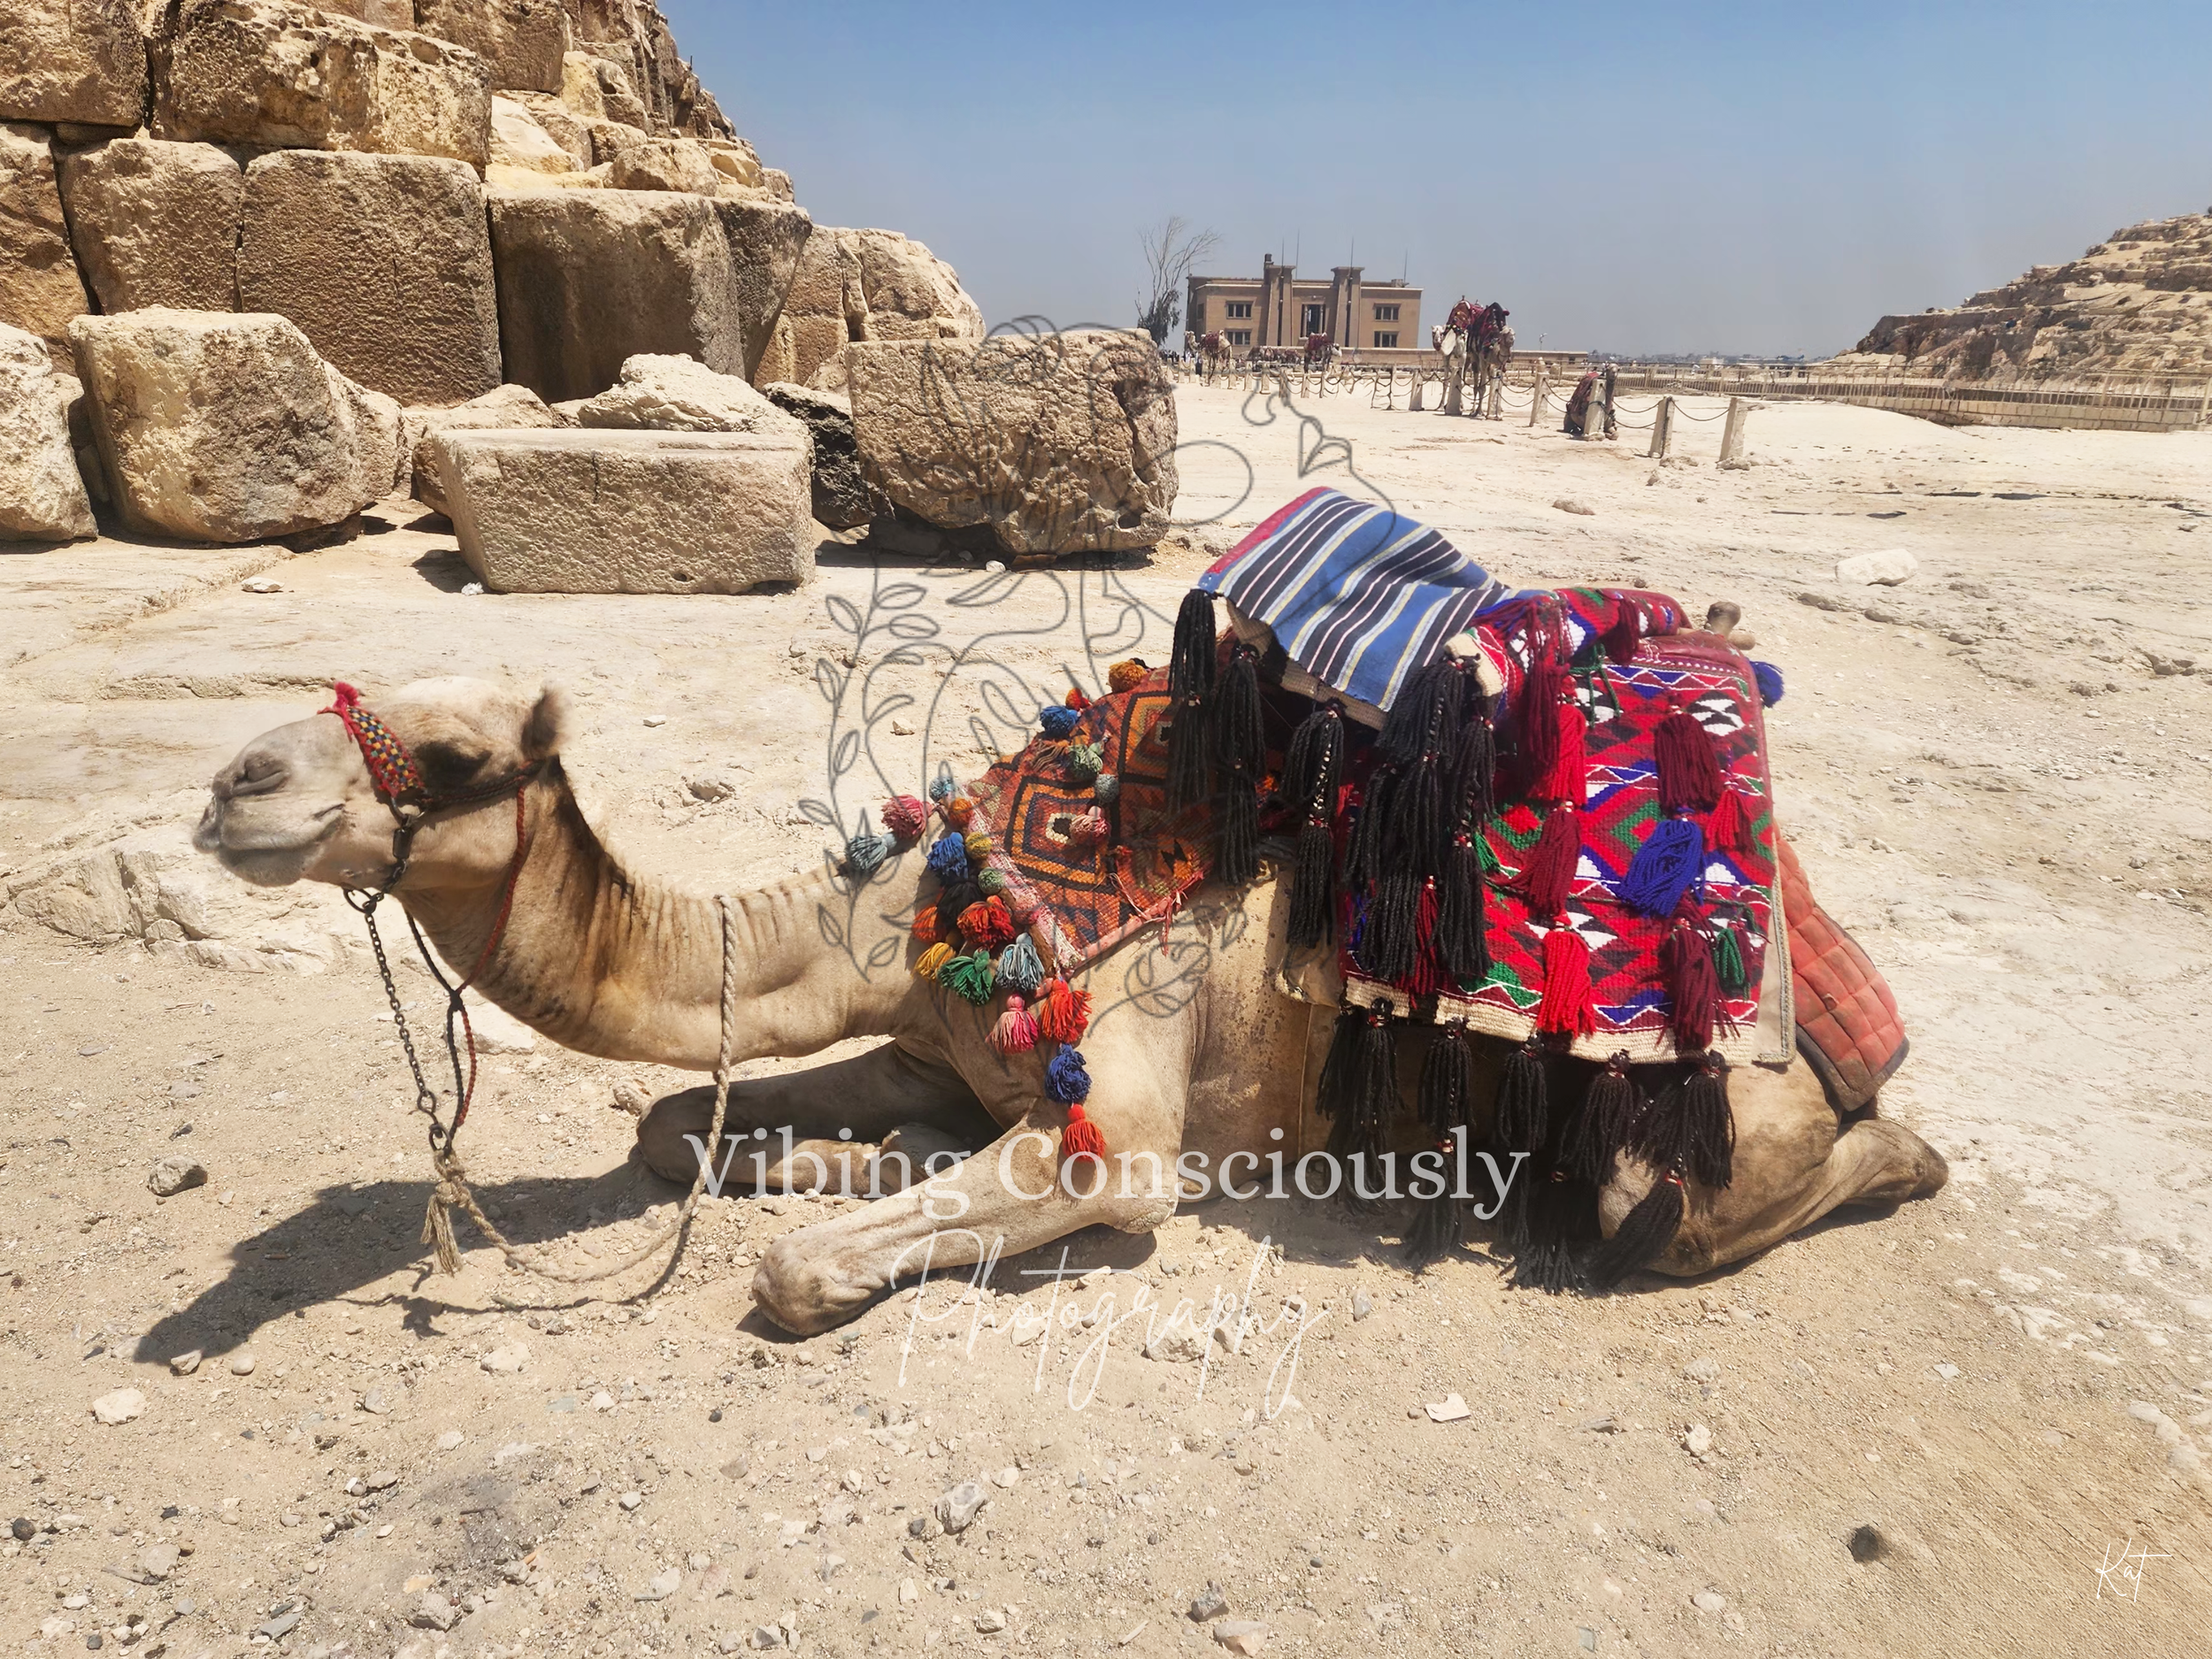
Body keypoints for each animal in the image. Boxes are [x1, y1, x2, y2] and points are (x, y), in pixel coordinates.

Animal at [194, 676, 1948, 1336]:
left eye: (452, 758)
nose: (232, 781)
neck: (904, 915)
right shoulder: (936, 1047)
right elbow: (671, 1124)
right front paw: (822, 1159)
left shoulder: (1122, 1122)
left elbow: (799, 1265)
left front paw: (834, 1223)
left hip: (1700, 1132)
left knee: (1691, 1215)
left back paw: (1906, 1161)